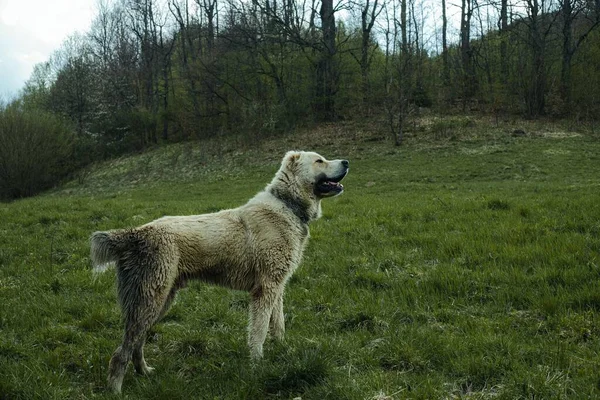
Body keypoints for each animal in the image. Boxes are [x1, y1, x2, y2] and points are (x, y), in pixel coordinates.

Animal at [91, 151, 350, 394]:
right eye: (319, 161)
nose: (347, 162)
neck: (288, 205)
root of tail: (134, 234)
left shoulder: (277, 286)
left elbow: (278, 325)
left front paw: (282, 350)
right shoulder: (265, 289)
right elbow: (258, 331)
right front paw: (257, 365)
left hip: (159, 300)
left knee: (137, 342)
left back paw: (144, 372)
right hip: (150, 299)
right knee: (122, 351)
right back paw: (115, 389)